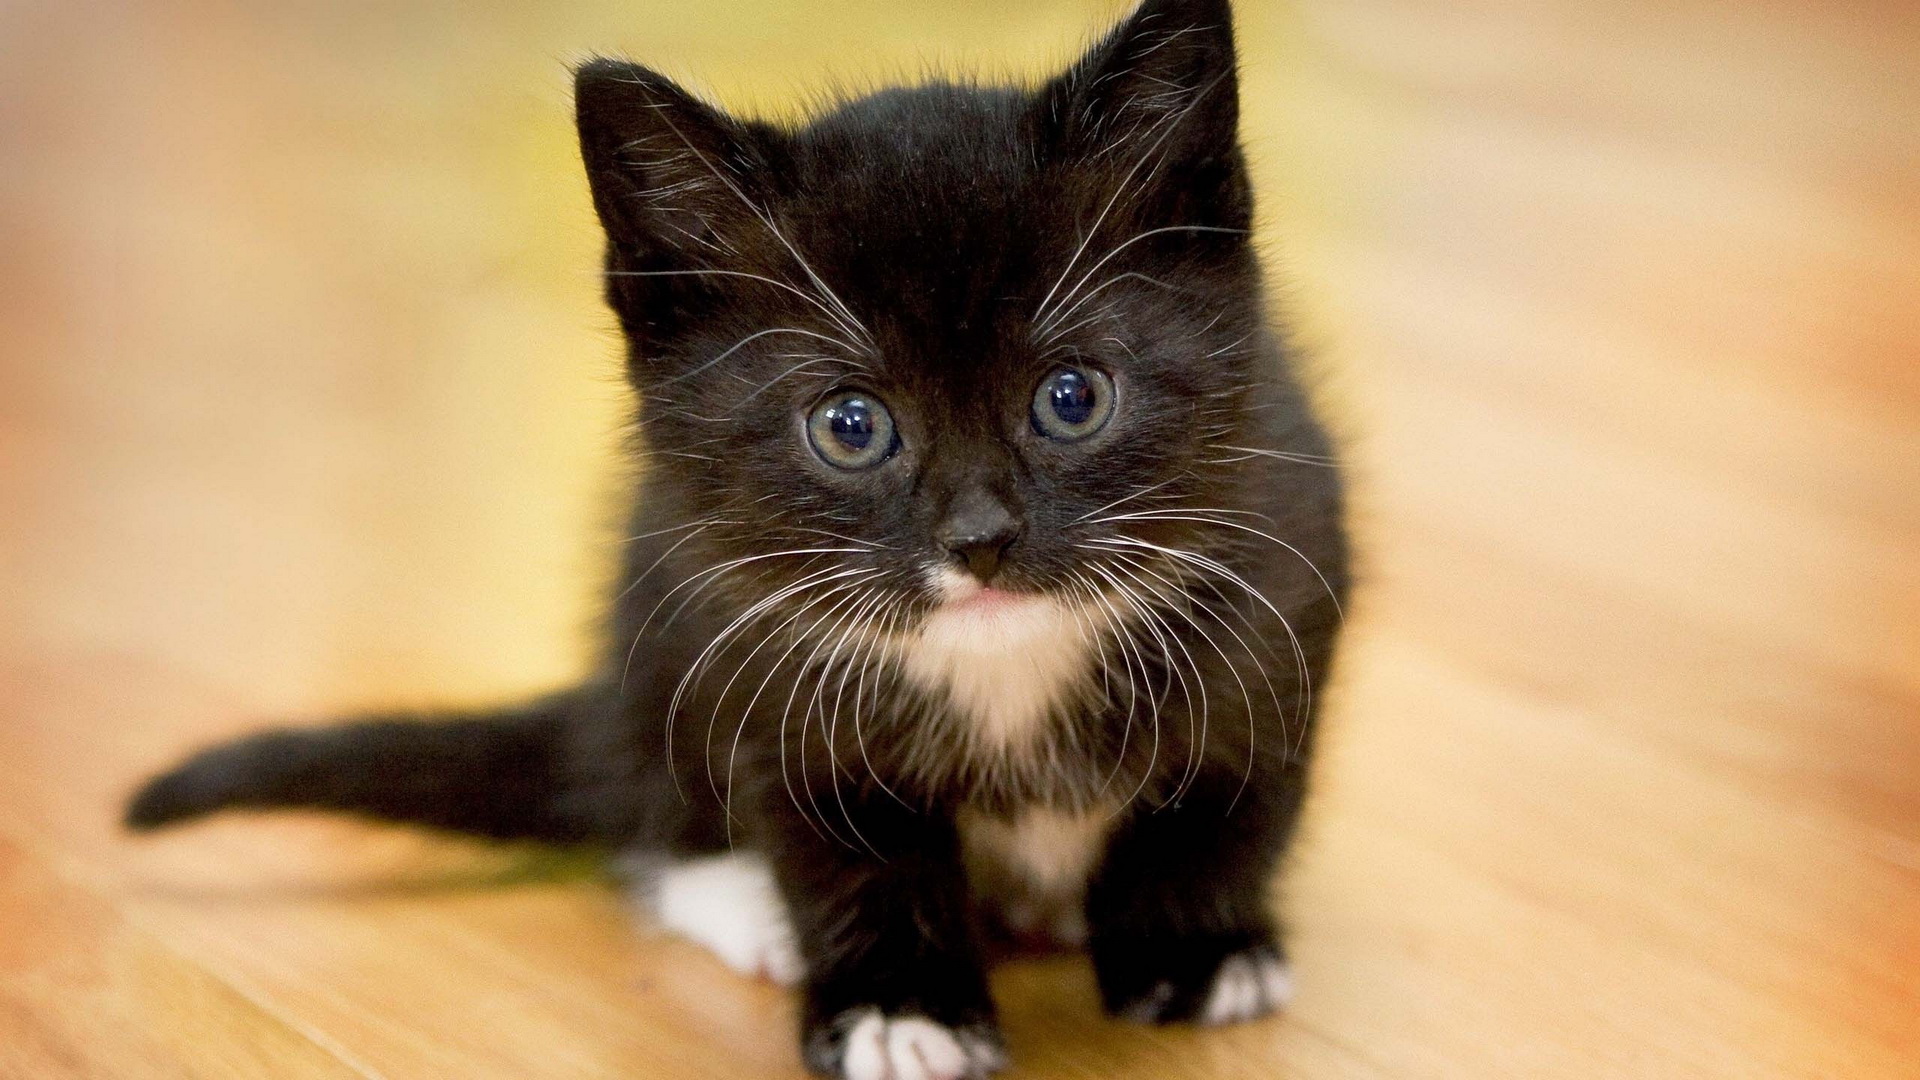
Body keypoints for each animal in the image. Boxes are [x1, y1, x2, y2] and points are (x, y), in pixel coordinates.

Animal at [123, 2, 1351, 1068]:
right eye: (850, 426)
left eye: (1074, 397)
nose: (980, 539)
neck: (1002, 667)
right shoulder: (758, 651)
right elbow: (838, 846)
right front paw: (898, 1006)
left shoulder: (1285, 572)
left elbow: (1238, 785)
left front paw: (1197, 948)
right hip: (655, 615)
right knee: (647, 807)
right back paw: (745, 901)